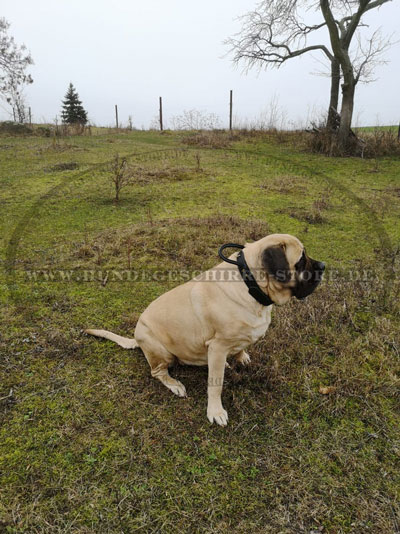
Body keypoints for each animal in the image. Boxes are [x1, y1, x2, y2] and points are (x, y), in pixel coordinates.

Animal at [85, 234, 324, 428]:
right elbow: (215, 386)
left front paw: (241, 356)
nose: (322, 265)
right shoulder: (217, 347)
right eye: (301, 260)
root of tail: (136, 337)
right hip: (161, 352)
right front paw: (215, 411)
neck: (251, 286)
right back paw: (175, 384)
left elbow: (240, 348)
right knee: (158, 372)